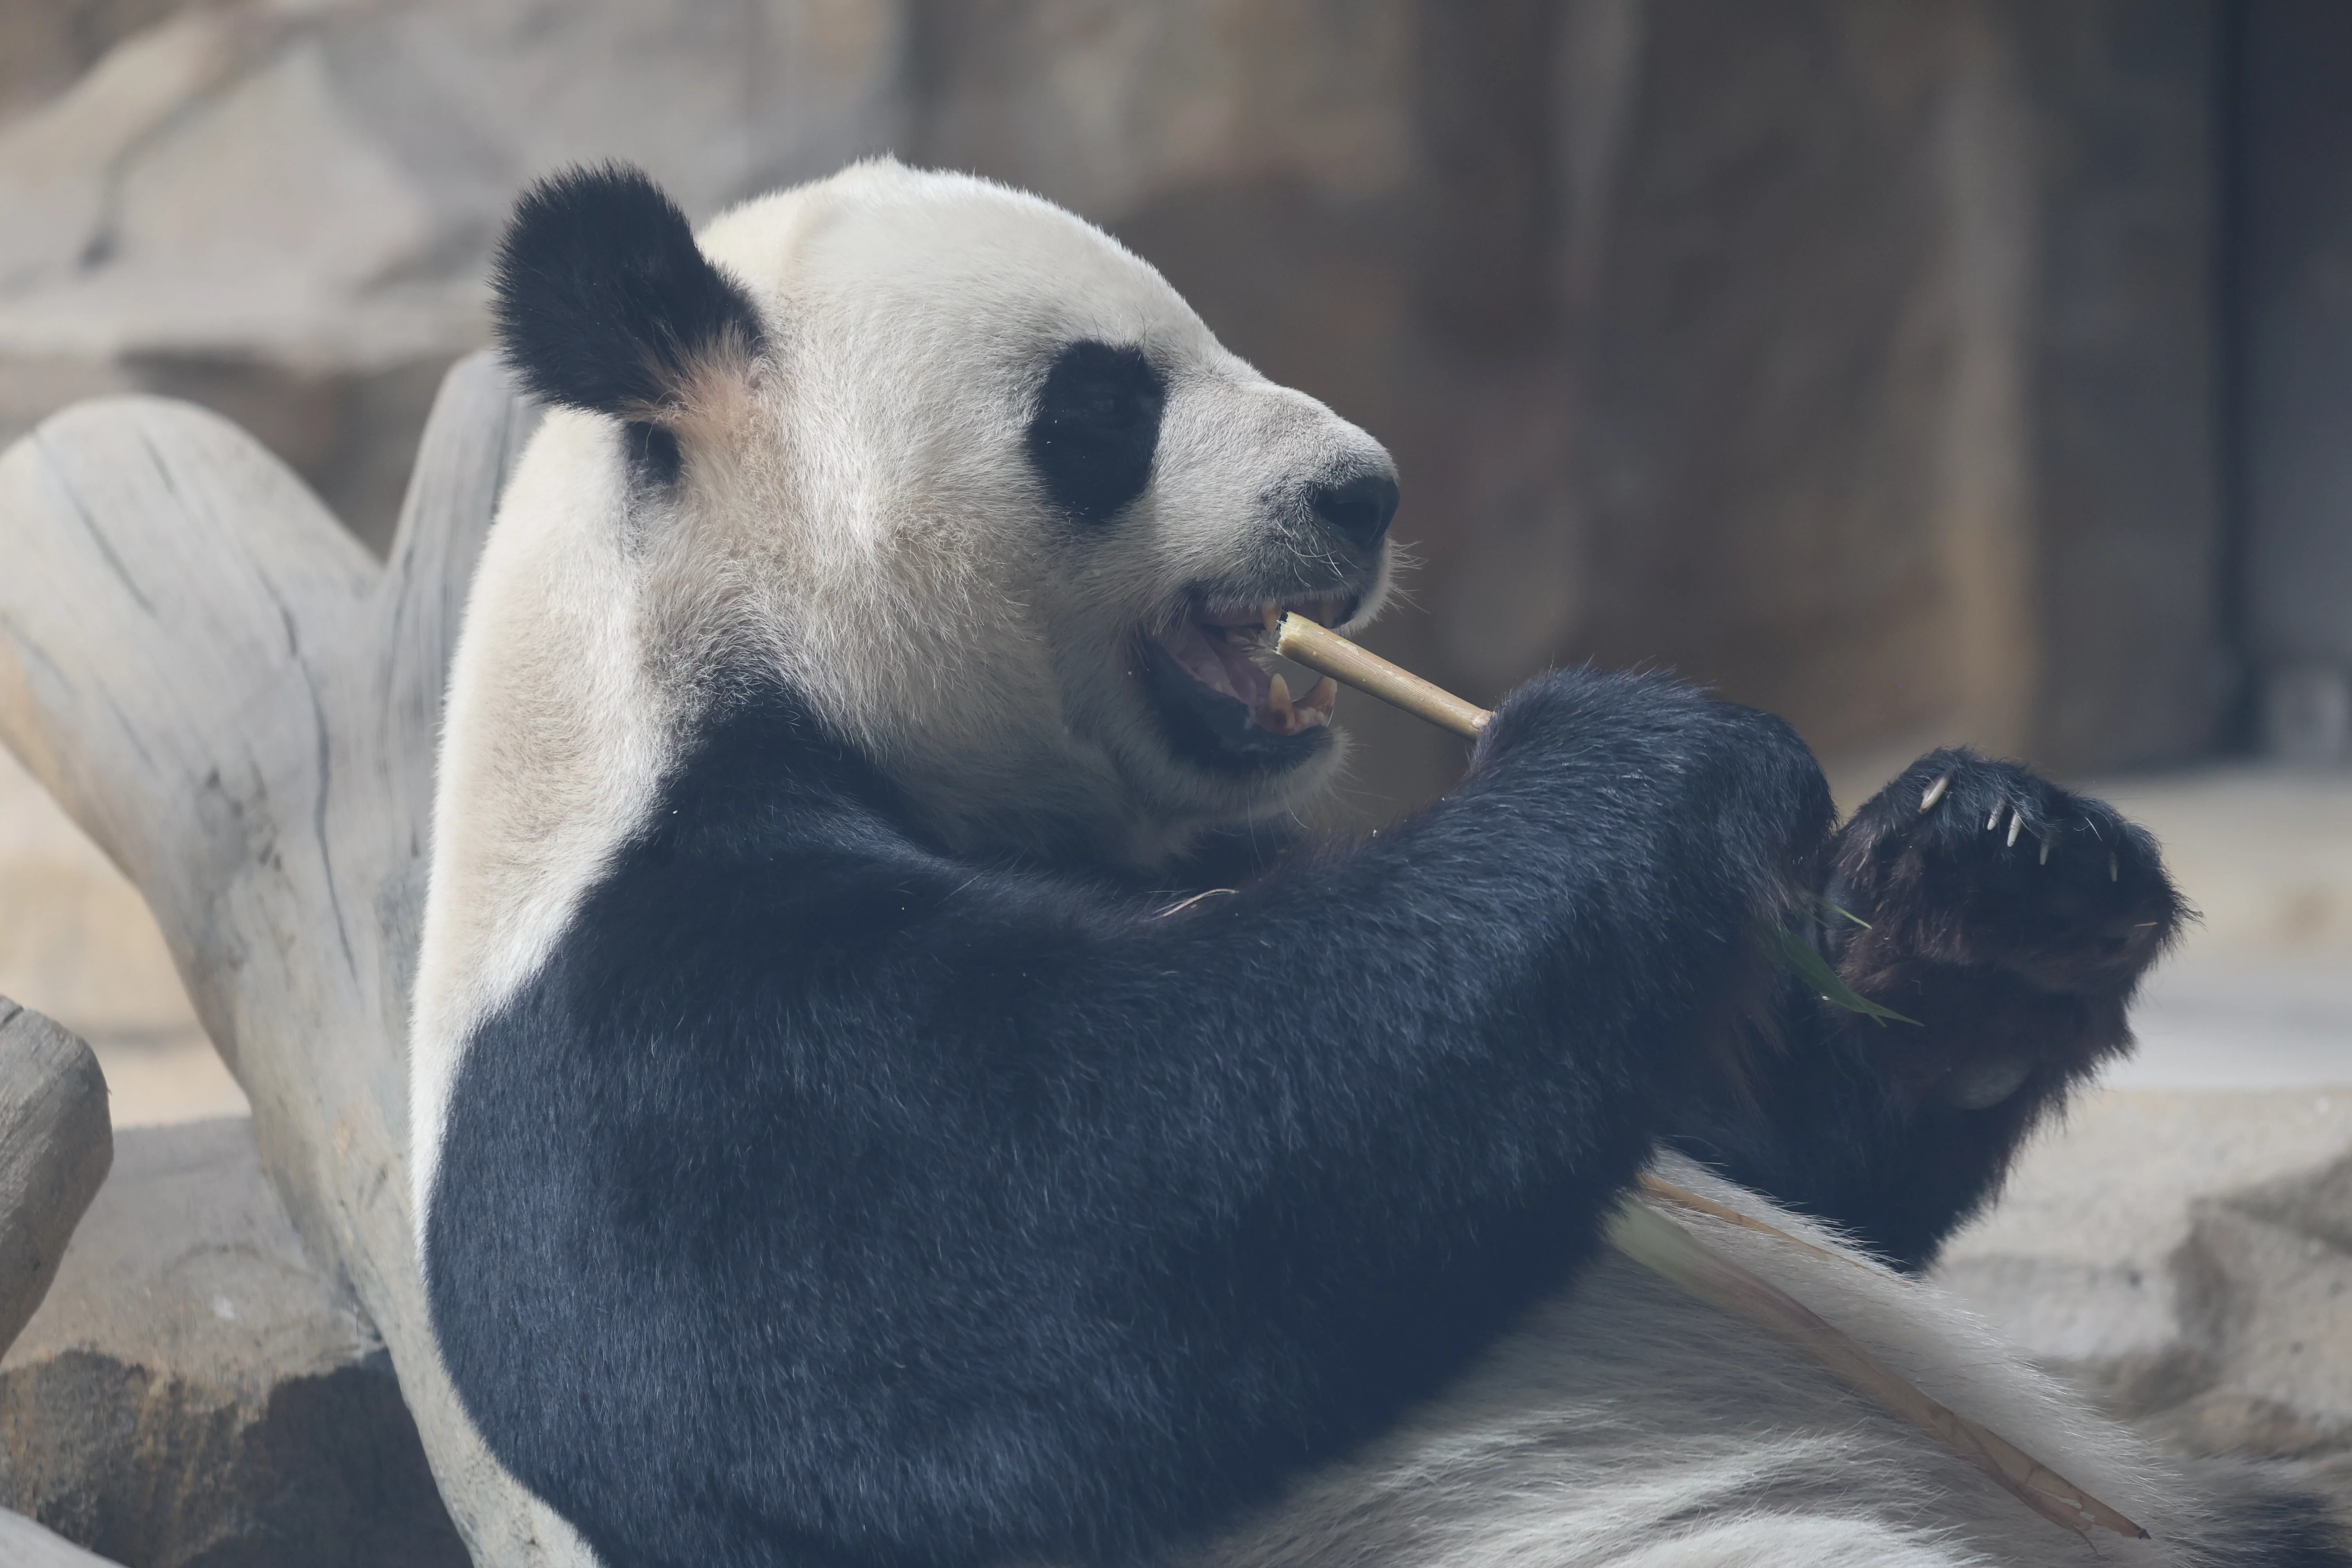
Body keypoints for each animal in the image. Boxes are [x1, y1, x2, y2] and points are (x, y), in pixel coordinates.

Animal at [410, 158, 2348, 1568]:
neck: (715, 667)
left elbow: (1749, 1146)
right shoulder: (652, 1031)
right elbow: (1098, 1203)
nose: (1363, 490)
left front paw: (1990, 888)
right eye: (1103, 402)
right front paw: (1649, 755)